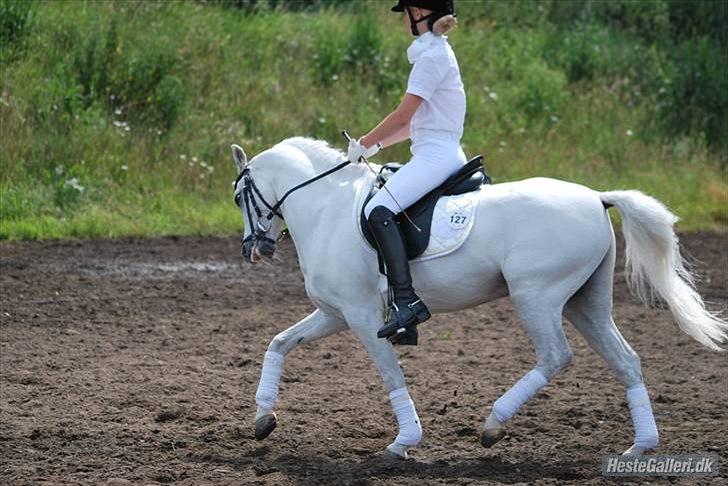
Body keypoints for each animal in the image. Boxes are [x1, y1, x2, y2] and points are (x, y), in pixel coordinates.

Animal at [231, 136, 726, 460]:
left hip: (536, 295)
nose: (254, 248)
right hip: (586, 302)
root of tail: (596, 198)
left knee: (556, 356)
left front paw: (403, 442)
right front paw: (263, 419)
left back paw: (493, 424)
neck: (327, 209)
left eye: (239, 196)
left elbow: (390, 374)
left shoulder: (361, 315)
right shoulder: (334, 313)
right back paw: (640, 446)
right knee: (625, 360)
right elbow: (279, 342)